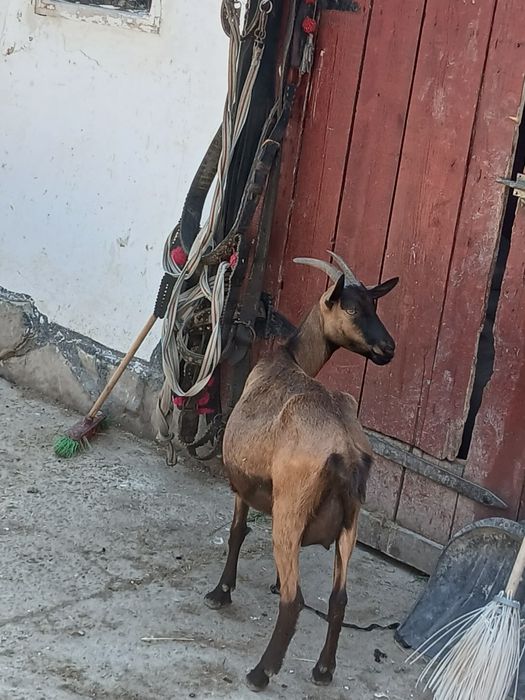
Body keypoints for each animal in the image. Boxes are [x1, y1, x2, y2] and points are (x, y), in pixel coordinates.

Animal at [205, 253, 398, 691]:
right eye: (353, 307)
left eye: (375, 305)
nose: (388, 347)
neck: (288, 359)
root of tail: (346, 452)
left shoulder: (246, 484)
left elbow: (238, 531)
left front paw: (221, 592)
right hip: (352, 519)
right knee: (338, 598)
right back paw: (323, 670)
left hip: (291, 508)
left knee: (295, 601)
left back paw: (261, 672)